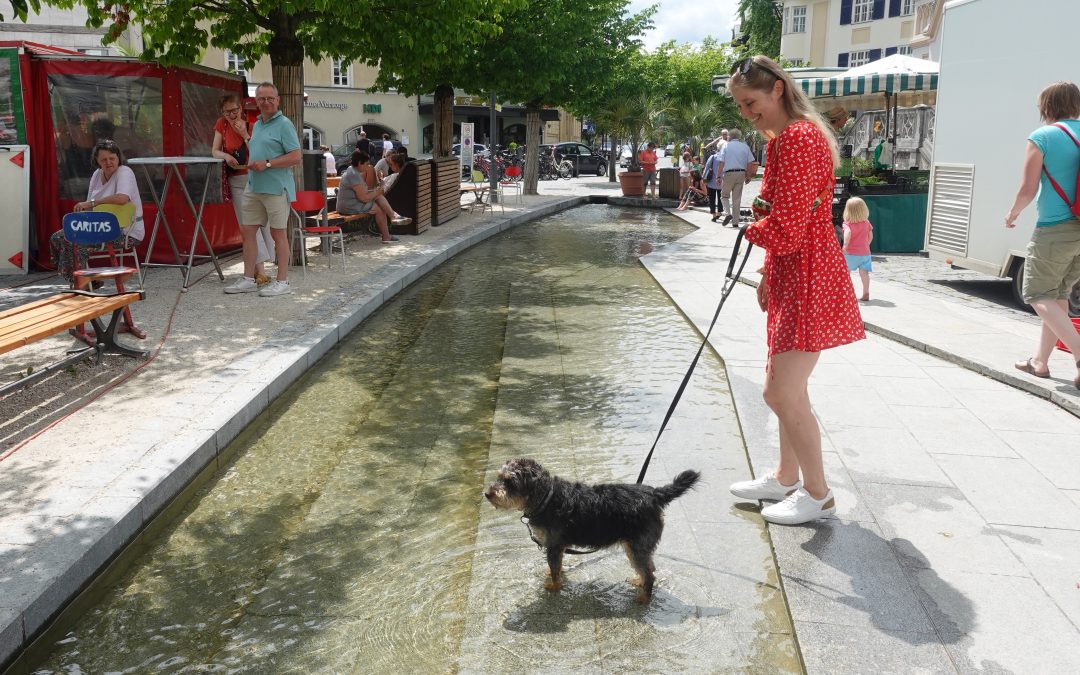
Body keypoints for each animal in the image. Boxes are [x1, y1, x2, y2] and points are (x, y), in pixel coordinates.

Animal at [488, 455, 704, 604]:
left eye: (510, 482)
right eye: (499, 477)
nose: (487, 494)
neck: (546, 498)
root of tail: (654, 494)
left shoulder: (554, 546)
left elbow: (555, 570)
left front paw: (555, 586)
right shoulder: (557, 547)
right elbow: (556, 567)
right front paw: (554, 576)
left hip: (637, 546)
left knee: (650, 574)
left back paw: (644, 598)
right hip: (636, 546)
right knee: (650, 567)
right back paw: (640, 582)